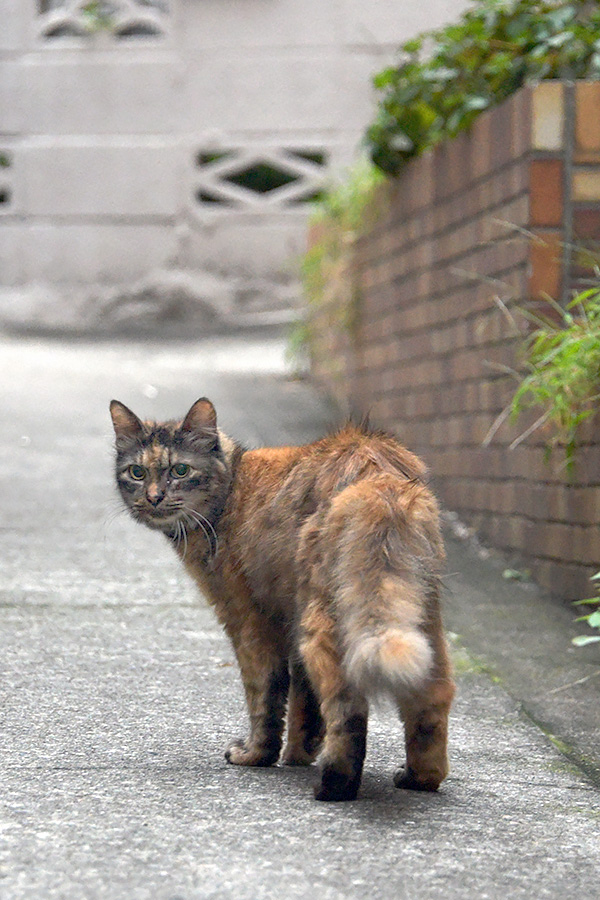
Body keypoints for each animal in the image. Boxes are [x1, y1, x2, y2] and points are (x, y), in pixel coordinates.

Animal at [110, 400, 454, 800]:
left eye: (180, 470)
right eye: (137, 472)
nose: (153, 498)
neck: (230, 493)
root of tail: (376, 469)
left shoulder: (248, 622)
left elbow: (265, 697)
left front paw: (256, 755)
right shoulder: (289, 621)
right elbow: (304, 704)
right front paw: (298, 755)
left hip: (322, 621)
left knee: (347, 703)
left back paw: (335, 785)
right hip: (417, 619)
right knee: (433, 696)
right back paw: (419, 778)